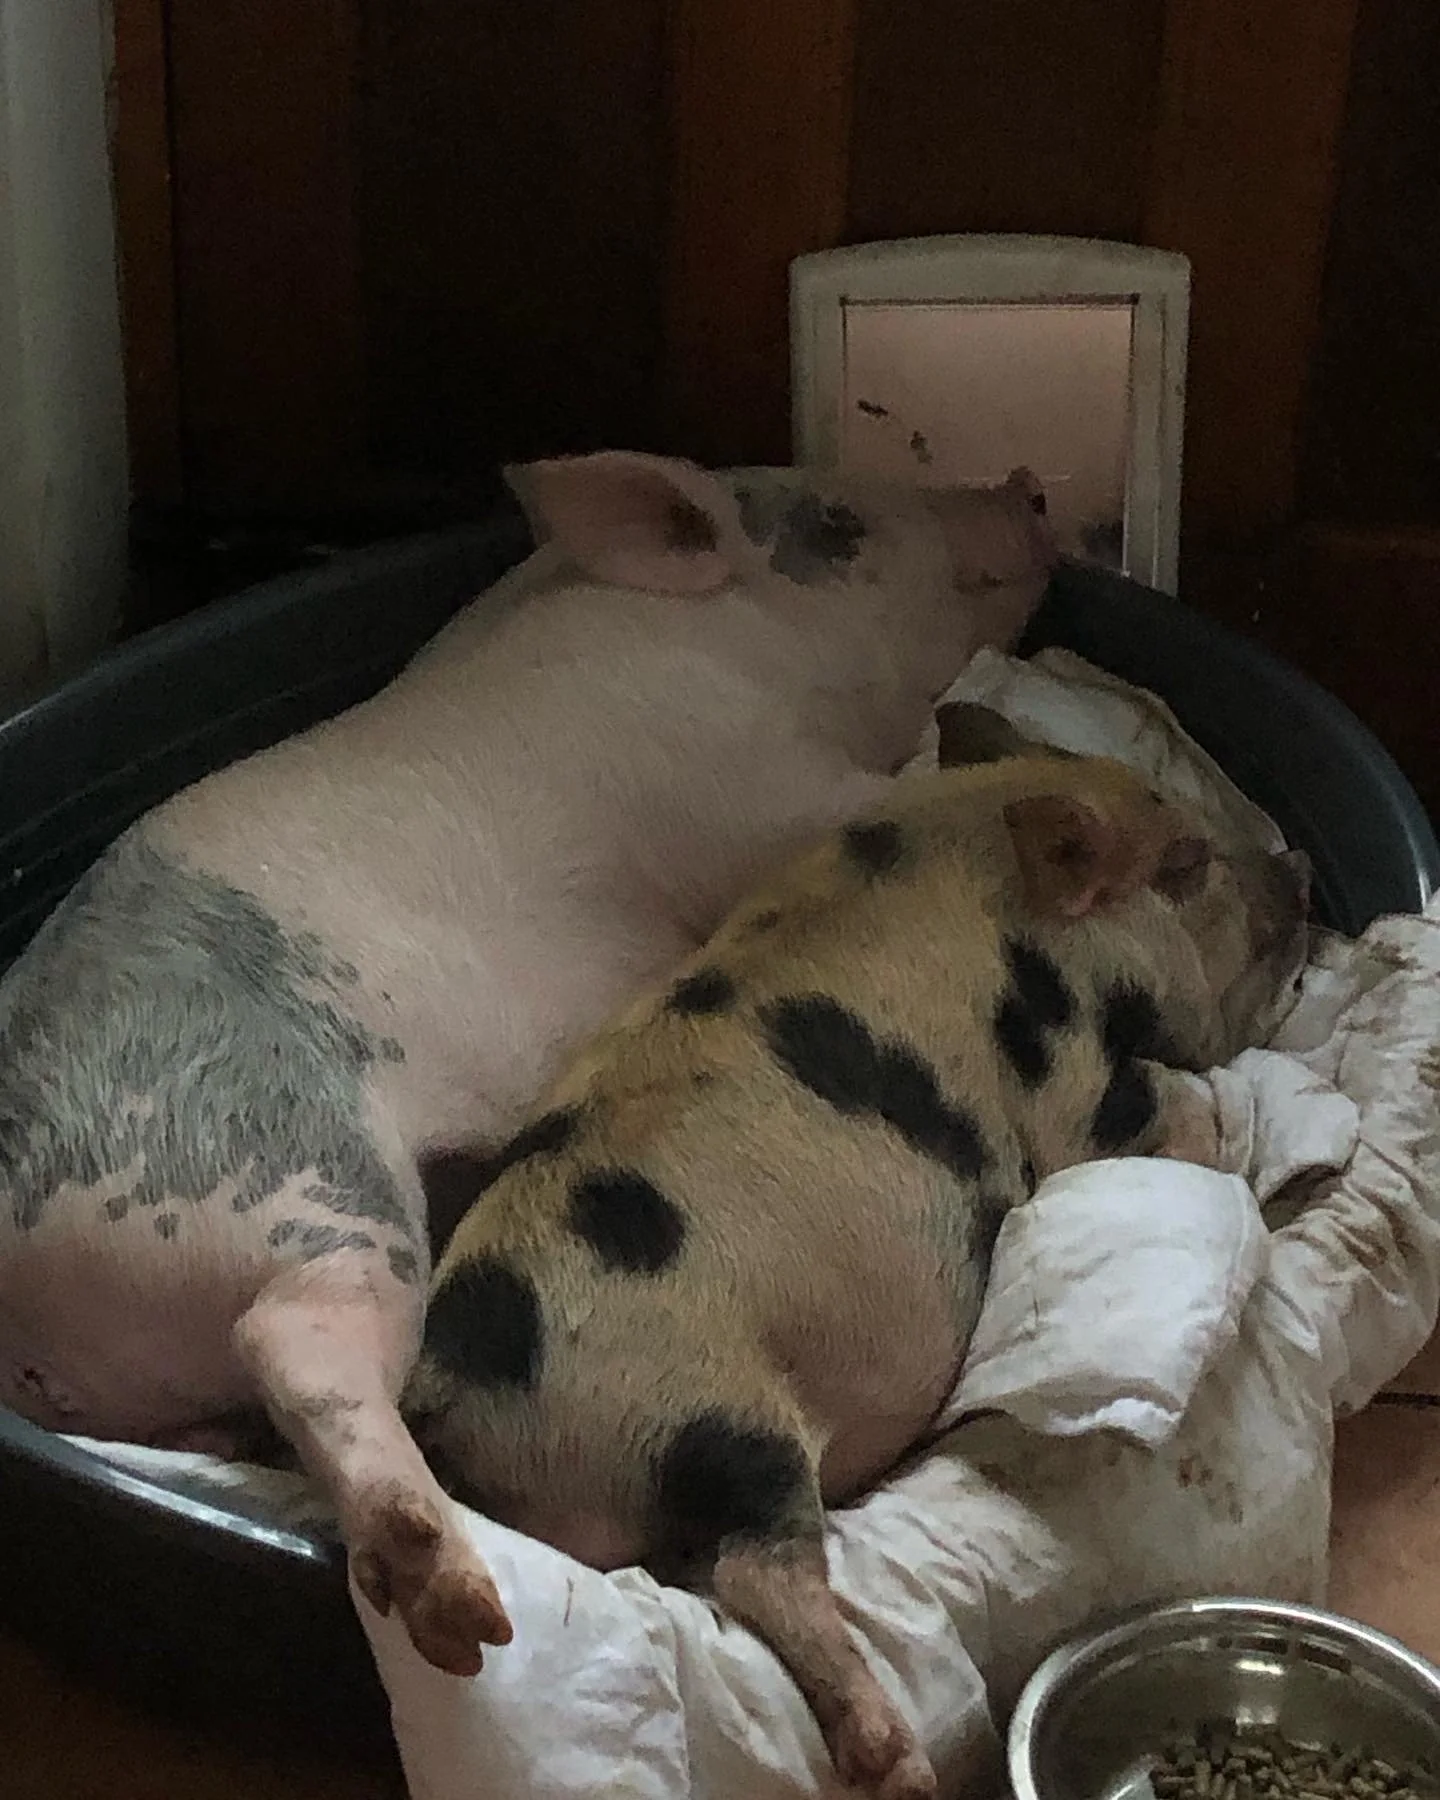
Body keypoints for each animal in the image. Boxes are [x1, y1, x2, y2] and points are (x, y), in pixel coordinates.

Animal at [0, 451, 1058, 1668]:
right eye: (843, 523)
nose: (1029, 488)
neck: (747, 642)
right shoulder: (739, 784)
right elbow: (873, 795)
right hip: (286, 1176)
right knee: (297, 1336)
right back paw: (460, 1605)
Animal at [404, 712, 1311, 1799]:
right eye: (1184, 864)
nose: (1299, 871)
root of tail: (454, 1391)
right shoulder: (1068, 1088)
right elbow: (1156, 1114)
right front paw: (1229, 1145)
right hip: (714, 1414)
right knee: (754, 1569)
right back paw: (899, 1761)